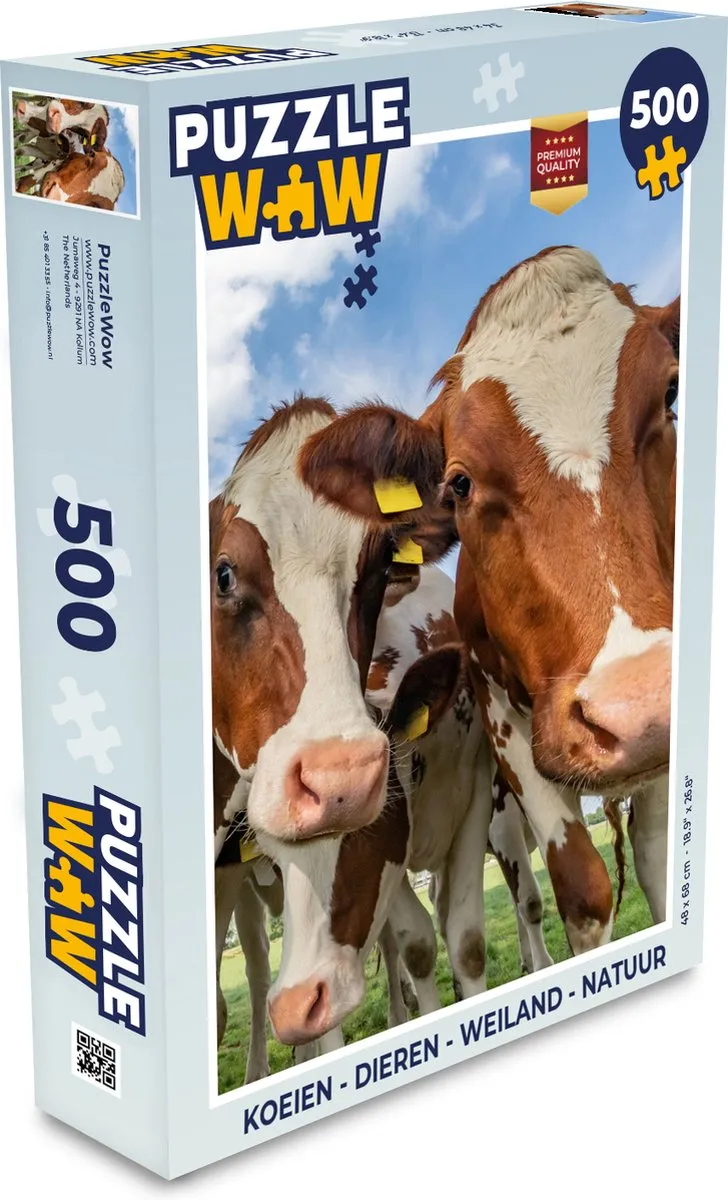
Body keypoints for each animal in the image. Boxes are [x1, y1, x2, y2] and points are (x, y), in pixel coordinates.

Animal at [295, 247, 679, 954]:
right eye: (460, 483)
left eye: (669, 395)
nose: (636, 707)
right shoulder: (503, 719)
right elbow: (581, 888)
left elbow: (657, 854)